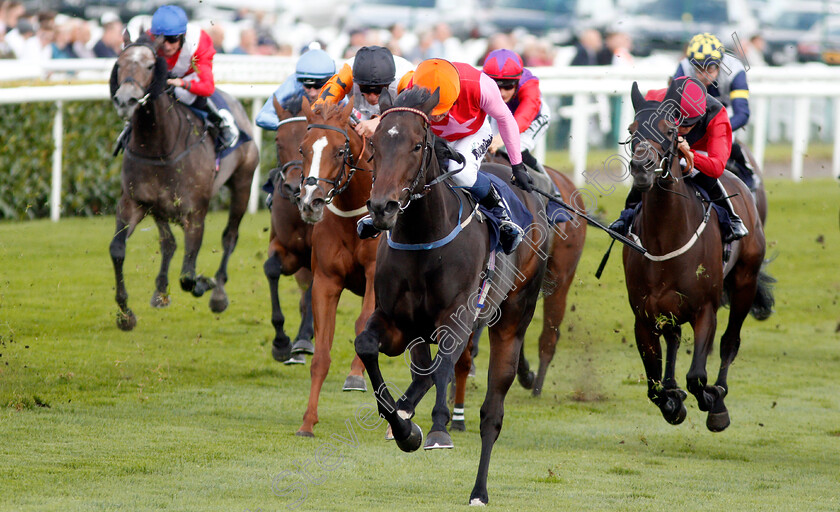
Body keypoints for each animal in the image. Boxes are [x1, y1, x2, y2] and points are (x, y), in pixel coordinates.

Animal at [110, 37, 258, 332]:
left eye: (149, 65)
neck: (159, 146)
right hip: (158, 208)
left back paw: (218, 293)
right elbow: (117, 250)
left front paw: (204, 283)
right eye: (119, 64)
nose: (125, 99)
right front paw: (125, 314)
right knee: (168, 242)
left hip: (243, 183)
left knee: (230, 237)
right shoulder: (133, 202)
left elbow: (188, 275)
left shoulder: (194, 214)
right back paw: (160, 292)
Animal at [360, 86, 552, 506]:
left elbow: (444, 365)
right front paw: (405, 429)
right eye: (375, 145)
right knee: (424, 371)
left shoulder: (459, 315)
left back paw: (479, 490)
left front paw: (437, 429)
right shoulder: (395, 321)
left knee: (491, 413)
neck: (424, 236)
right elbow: (367, 346)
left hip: (512, 317)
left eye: (417, 145)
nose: (382, 208)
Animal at [624, 81, 776, 432]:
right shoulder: (644, 315)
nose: (641, 168)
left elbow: (696, 376)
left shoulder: (705, 308)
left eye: (669, 131)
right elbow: (654, 386)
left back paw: (719, 394)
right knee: (674, 338)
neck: (664, 239)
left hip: (745, 281)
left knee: (730, 341)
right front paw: (672, 400)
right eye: (631, 130)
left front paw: (711, 400)